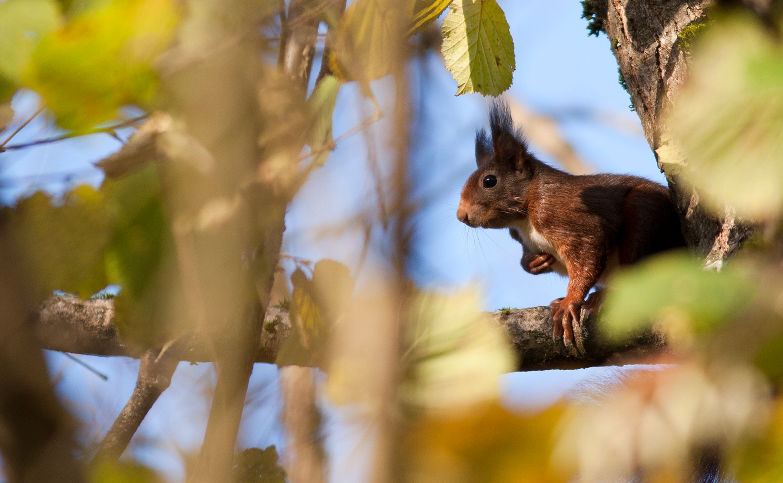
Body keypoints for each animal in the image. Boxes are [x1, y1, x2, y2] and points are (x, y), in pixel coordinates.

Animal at [456, 101, 684, 352]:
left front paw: (569, 302)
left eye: (489, 181)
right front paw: (534, 262)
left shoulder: (562, 215)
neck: (523, 219)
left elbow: (587, 253)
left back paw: (602, 296)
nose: (460, 215)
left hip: (645, 214)